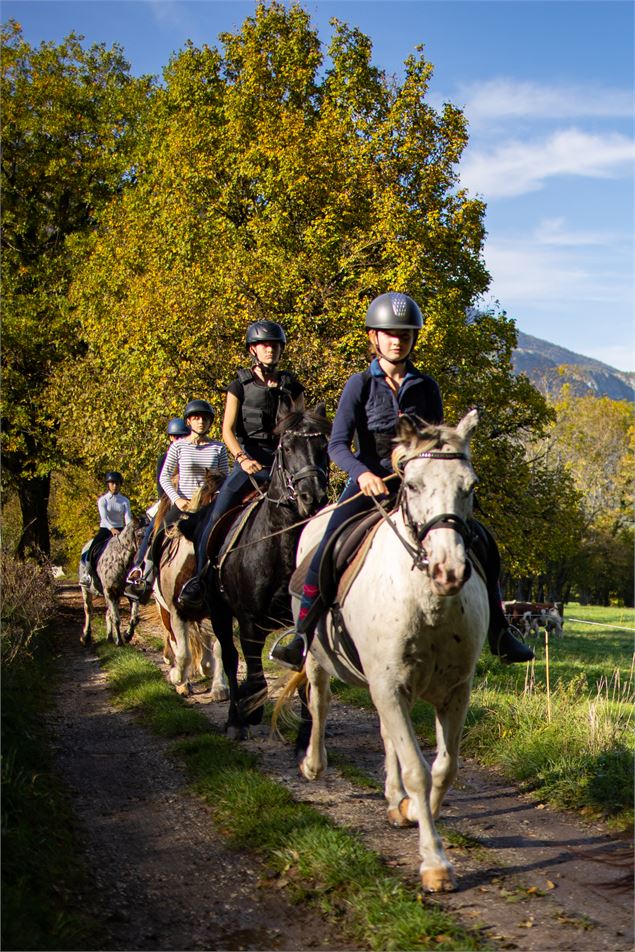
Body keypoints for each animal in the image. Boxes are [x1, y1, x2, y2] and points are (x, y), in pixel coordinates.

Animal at [276, 410, 490, 892]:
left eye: (470, 486)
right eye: (411, 485)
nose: (448, 570)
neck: (427, 601)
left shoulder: (452, 692)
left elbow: (444, 767)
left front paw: (410, 807)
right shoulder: (389, 685)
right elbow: (416, 769)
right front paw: (435, 863)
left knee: (388, 734)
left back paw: (395, 800)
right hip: (318, 658)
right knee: (319, 700)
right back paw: (313, 764)